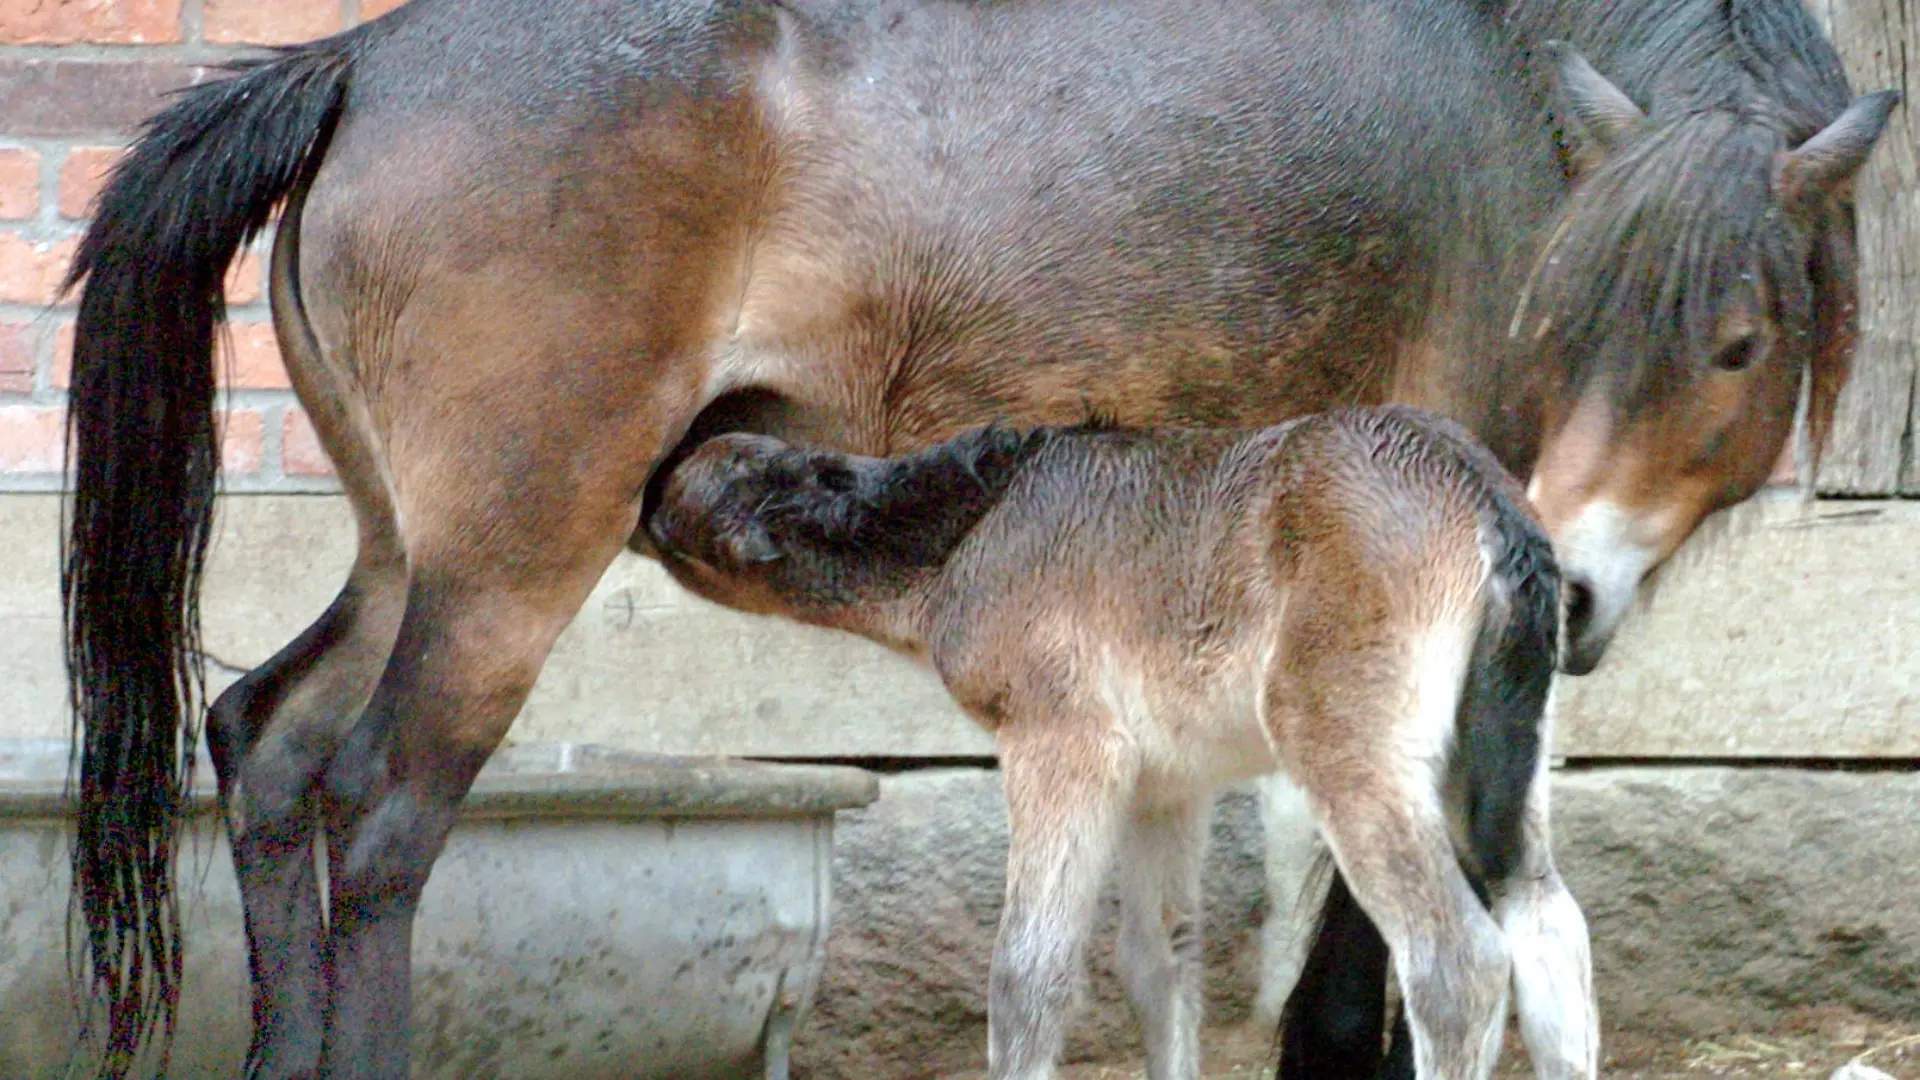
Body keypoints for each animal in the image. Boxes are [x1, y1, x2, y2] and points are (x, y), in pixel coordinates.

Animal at [643, 408, 1579, 1080]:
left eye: (672, 507)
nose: (641, 496)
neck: (971, 529)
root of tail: (1485, 501)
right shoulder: (1168, 783)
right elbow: (1159, 961)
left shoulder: (1060, 740)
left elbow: (1029, 972)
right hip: (1498, 760)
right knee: (1545, 921)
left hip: (1346, 738)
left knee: (1458, 962)